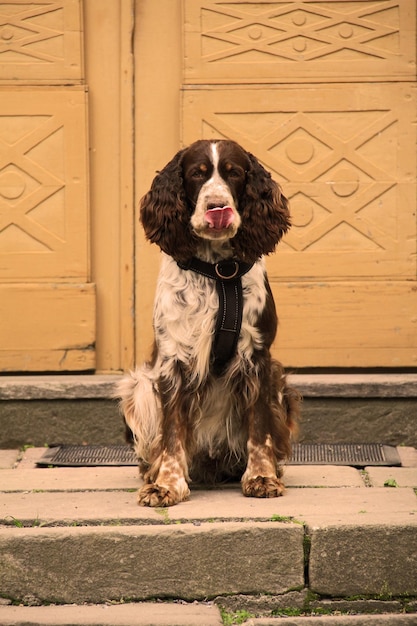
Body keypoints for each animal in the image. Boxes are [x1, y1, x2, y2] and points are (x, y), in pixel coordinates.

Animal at [117, 139, 300, 504]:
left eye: (235, 173)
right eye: (196, 174)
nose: (217, 207)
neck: (219, 270)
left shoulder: (258, 358)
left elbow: (259, 428)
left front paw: (261, 477)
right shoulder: (172, 360)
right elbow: (172, 432)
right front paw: (166, 484)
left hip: (280, 383)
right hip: (139, 386)